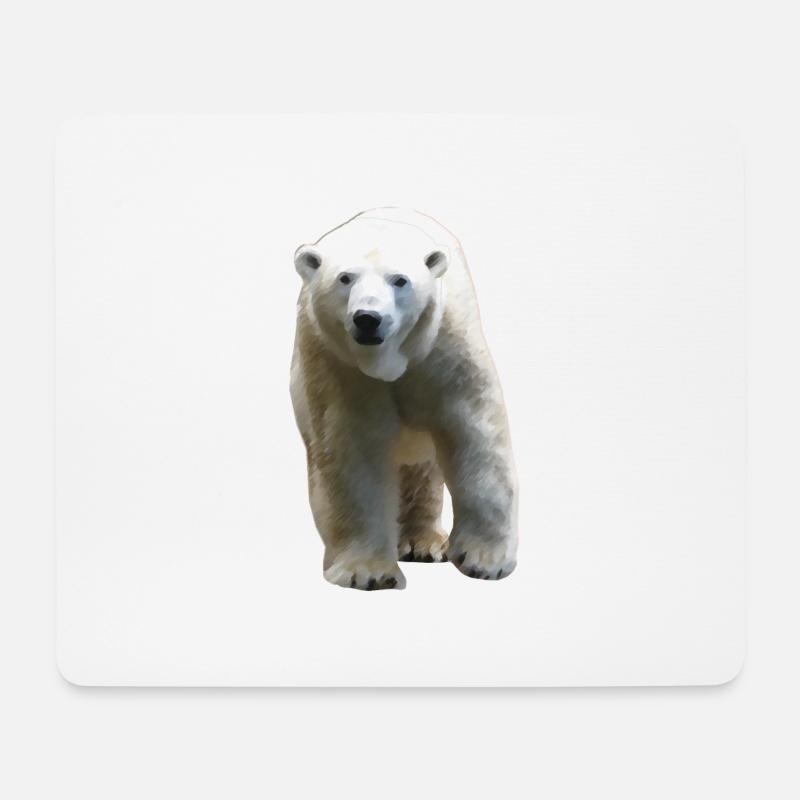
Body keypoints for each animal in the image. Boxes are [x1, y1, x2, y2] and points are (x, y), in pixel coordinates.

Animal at [290, 208, 518, 590]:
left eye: (399, 280)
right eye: (345, 278)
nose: (368, 319)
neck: (388, 361)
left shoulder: (446, 349)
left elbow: (474, 434)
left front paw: (485, 560)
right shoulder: (336, 365)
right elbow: (351, 450)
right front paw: (368, 571)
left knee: (423, 468)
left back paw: (423, 544)